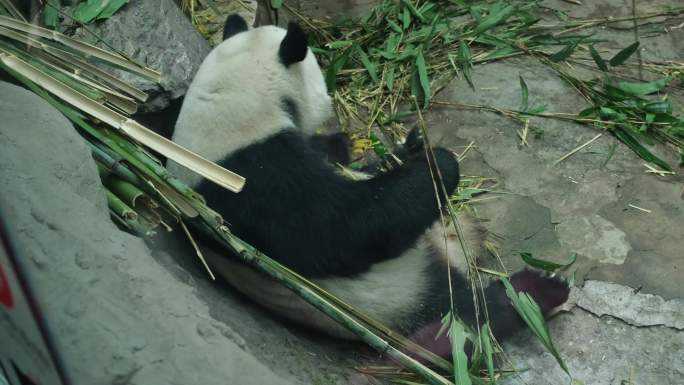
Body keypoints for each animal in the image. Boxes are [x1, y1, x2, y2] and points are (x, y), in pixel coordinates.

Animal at [168, 14, 568, 356]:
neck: (228, 103)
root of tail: (448, 249)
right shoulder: (253, 182)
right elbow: (347, 227)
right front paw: (439, 164)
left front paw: (398, 149)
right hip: (405, 295)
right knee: (465, 320)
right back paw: (537, 291)